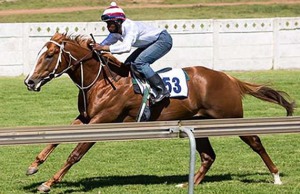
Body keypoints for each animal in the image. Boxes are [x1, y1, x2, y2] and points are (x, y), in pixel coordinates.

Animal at [24, 32, 296, 192]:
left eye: (49, 55)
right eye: (40, 54)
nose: (29, 81)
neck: (103, 80)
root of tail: (228, 77)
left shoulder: (103, 121)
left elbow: (75, 154)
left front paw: (48, 183)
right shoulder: (86, 118)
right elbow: (57, 138)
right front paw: (34, 166)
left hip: (230, 118)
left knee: (255, 141)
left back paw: (276, 177)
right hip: (200, 122)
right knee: (208, 156)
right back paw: (189, 183)